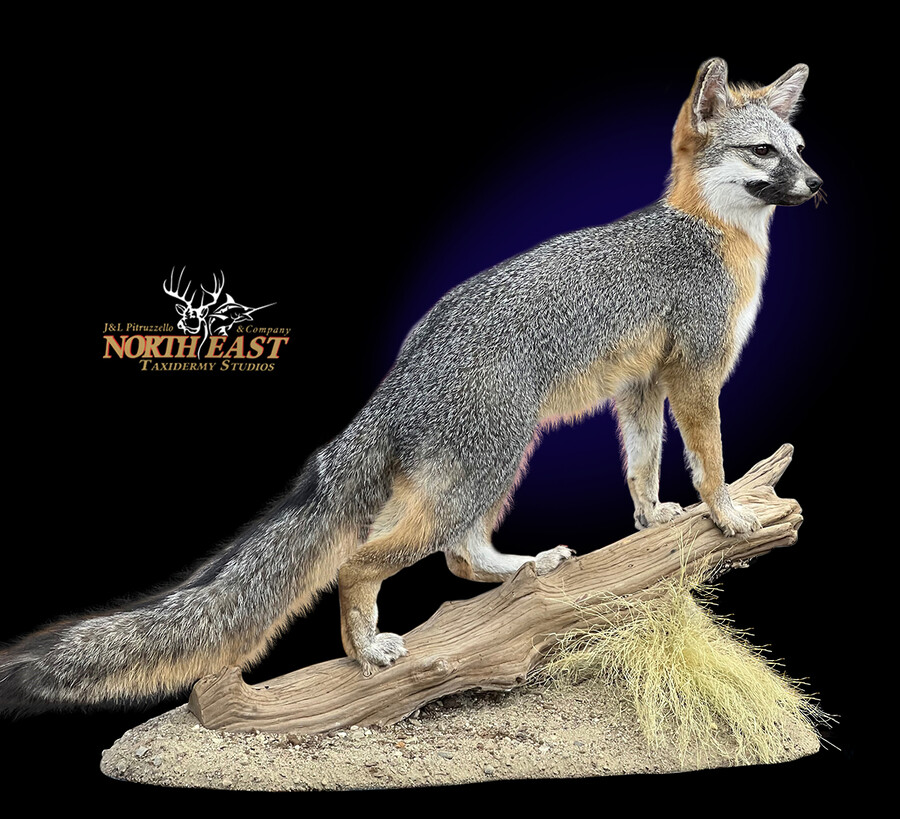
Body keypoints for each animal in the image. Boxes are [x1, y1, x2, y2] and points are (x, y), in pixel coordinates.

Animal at [0, 58, 821, 714]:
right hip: (494, 460)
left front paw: (652, 522)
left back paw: (519, 569)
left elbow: (642, 466)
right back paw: (366, 652)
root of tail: (400, 374)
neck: (708, 231)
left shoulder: (642, 386)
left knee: (458, 556)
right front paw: (727, 515)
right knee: (364, 562)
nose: (817, 184)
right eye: (762, 152)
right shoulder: (696, 372)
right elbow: (710, 461)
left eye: (800, 149)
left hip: (475, 475)